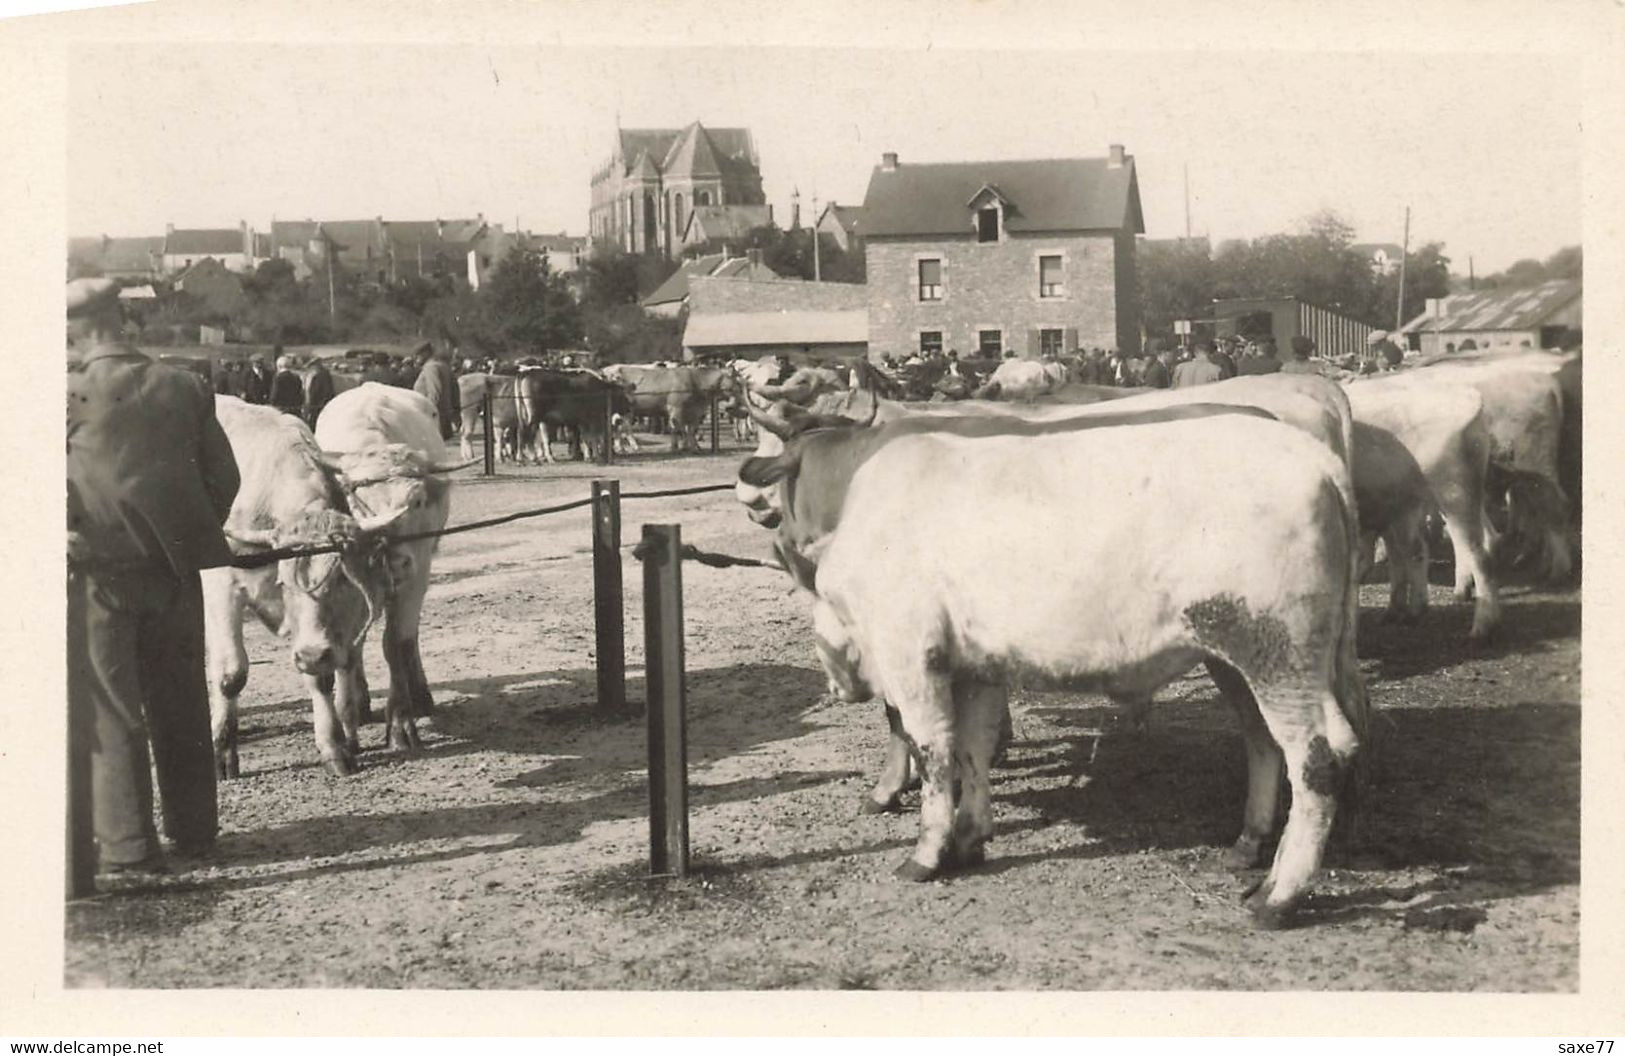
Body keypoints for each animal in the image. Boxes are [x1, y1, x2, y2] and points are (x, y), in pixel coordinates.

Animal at [315, 381, 464, 753]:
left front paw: (400, 723)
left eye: (418, 501)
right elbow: (350, 647)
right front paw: (351, 713)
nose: (396, 561)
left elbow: (395, 643)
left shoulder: (417, 574)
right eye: (356, 502)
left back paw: (420, 694)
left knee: (410, 638)